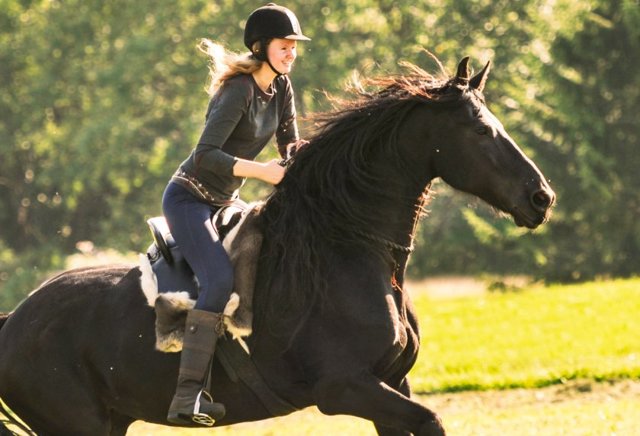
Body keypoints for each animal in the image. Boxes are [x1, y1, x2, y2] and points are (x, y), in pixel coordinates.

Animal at [0, 58, 556, 436]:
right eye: (481, 130)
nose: (541, 197)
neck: (345, 251)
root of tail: (13, 321)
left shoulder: (391, 384)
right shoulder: (344, 388)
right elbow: (433, 420)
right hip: (78, 426)